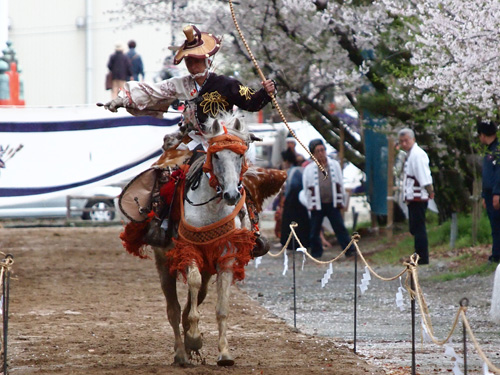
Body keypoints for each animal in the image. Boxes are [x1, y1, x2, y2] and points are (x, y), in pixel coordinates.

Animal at [152, 114, 270, 368]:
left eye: (239, 155)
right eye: (216, 155)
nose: (231, 195)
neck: (211, 208)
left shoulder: (226, 257)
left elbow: (222, 307)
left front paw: (224, 353)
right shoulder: (188, 251)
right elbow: (193, 283)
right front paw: (195, 338)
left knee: (194, 300)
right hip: (164, 263)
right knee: (173, 309)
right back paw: (181, 353)